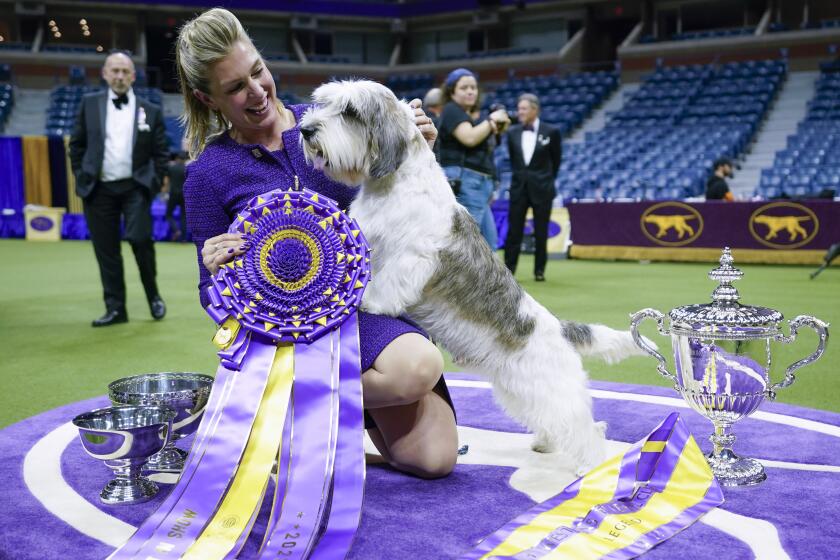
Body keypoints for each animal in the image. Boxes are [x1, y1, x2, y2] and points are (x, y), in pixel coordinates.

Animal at [302, 79, 648, 472]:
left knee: (587, 429)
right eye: (323, 103)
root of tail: (560, 329)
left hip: (552, 389)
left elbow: (386, 284)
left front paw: (368, 303)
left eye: (350, 112)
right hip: (518, 389)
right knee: (555, 422)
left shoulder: (412, 257)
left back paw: (590, 468)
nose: (306, 130)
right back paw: (545, 444)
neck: (393, 185)